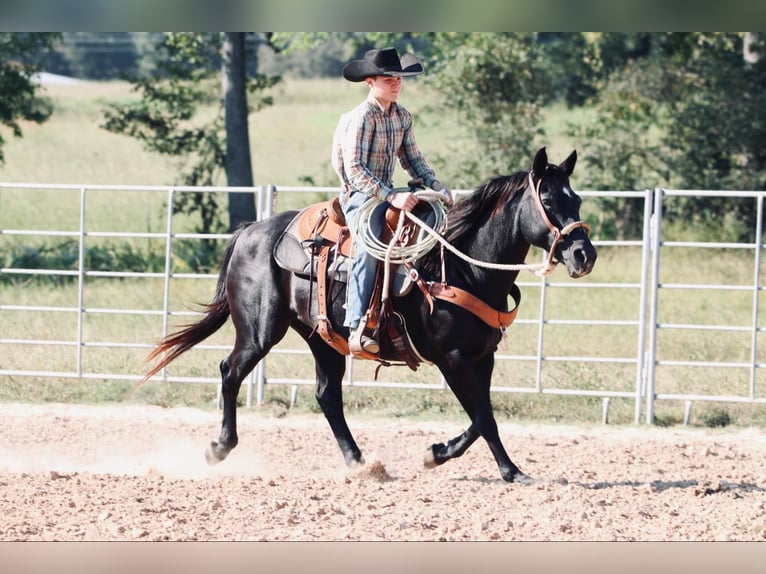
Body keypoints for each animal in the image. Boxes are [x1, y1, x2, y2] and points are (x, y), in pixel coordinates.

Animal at [142, 146, 600, 484]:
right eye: (547, 199)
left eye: (576, 199)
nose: (584, 255)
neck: (460, 266)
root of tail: (248, 233)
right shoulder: (451, 358)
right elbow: (484, 418)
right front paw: (512, 471)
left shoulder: (481, 357)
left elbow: (480, 416)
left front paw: (437, 453)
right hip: (259, 330)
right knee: (230, 371)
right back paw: (219, 447)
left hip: (320, 336)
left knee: (327, 394)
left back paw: (361, 463)